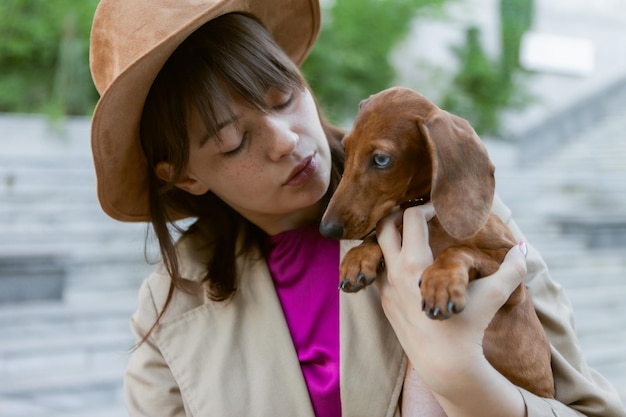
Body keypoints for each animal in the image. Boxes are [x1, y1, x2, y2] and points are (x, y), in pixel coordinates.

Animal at [320, 87, 552, 396]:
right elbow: (378, 235)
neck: (424, 208)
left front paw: (441, 281)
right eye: (346, 149)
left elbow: (458, 248)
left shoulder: (513, 282)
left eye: (381, 160)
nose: (326, 229)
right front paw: (359, 257)